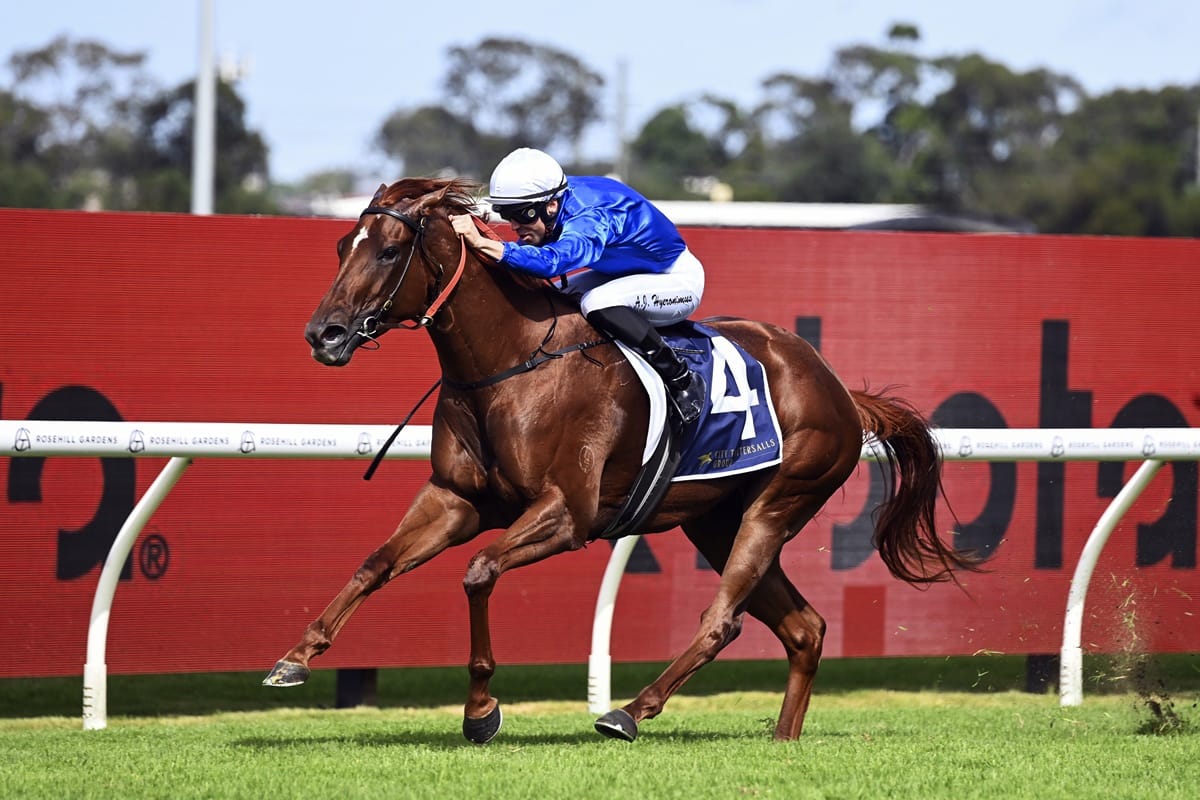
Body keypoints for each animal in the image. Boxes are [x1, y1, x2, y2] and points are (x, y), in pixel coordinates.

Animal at [264, 176, 977, 743]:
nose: (323, 334)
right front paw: (295, 657)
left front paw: (481, 710)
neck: (511, 364)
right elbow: (376, 563)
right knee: (805, 627)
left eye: (388, 250)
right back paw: (782, 738)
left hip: (778, 504)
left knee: (722, 622)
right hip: (715, 521)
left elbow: (479, 572)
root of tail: (838, 389)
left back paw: (629, 711)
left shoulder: (566, 514)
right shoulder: (456, 500)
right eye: (341, 247)